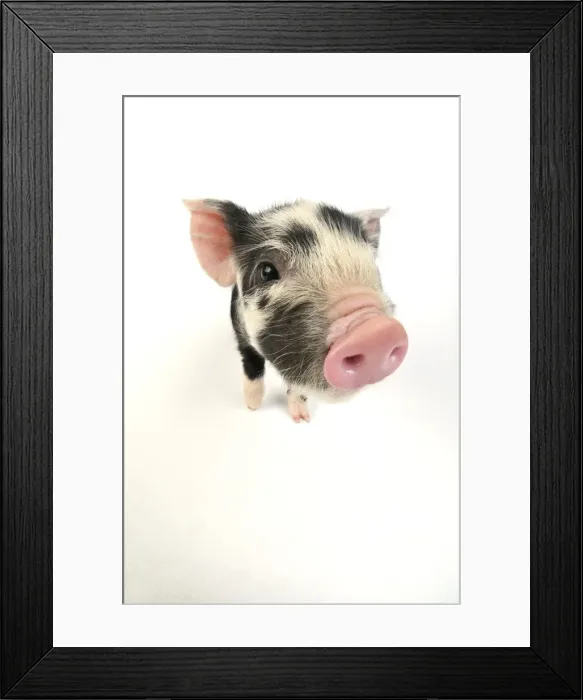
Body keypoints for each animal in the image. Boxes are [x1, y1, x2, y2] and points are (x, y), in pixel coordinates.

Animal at [183, 198, 408, 422]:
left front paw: (302, 419)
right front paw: (253, 406)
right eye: (267, 271)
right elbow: (251, 362)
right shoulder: (239, 326)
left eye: (374, 266)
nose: (376, 330)